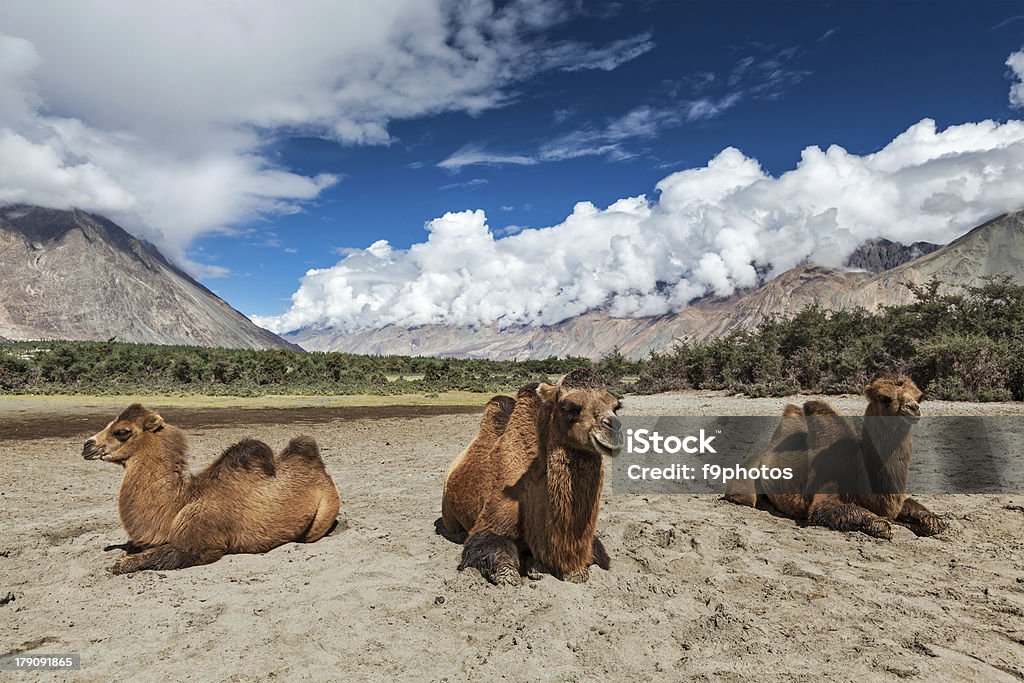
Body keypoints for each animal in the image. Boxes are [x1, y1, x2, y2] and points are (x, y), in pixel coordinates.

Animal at [82, 403, 339, 573]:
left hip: (324, 512)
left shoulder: (203, 545)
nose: (87, 445)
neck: (178, 504)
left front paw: (121, 563)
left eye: (122, 432)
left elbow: (151, 558)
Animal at [442, 370, 622, 585]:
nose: (614, 429)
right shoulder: (488, 525)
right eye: (569, 407)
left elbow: (600, 557)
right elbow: (503, 569)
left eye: (616, 406)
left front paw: (538, 567)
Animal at [724, 374, 946, 540]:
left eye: (919, 396)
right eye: (885, 398)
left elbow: (933, 521)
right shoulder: (826, 496)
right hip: (744, 486)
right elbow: (866, 519)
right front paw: (885, 525)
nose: (913, 408)